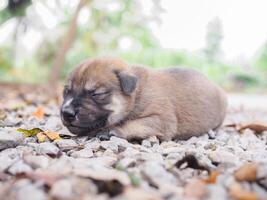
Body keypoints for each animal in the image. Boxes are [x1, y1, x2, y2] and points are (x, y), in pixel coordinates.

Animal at [60, 57, 228, 140]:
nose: (66, 113)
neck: (138, 92)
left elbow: (133, 123)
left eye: (96, 94)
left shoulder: (162, 119)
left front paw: (111, 131)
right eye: (66, 92)